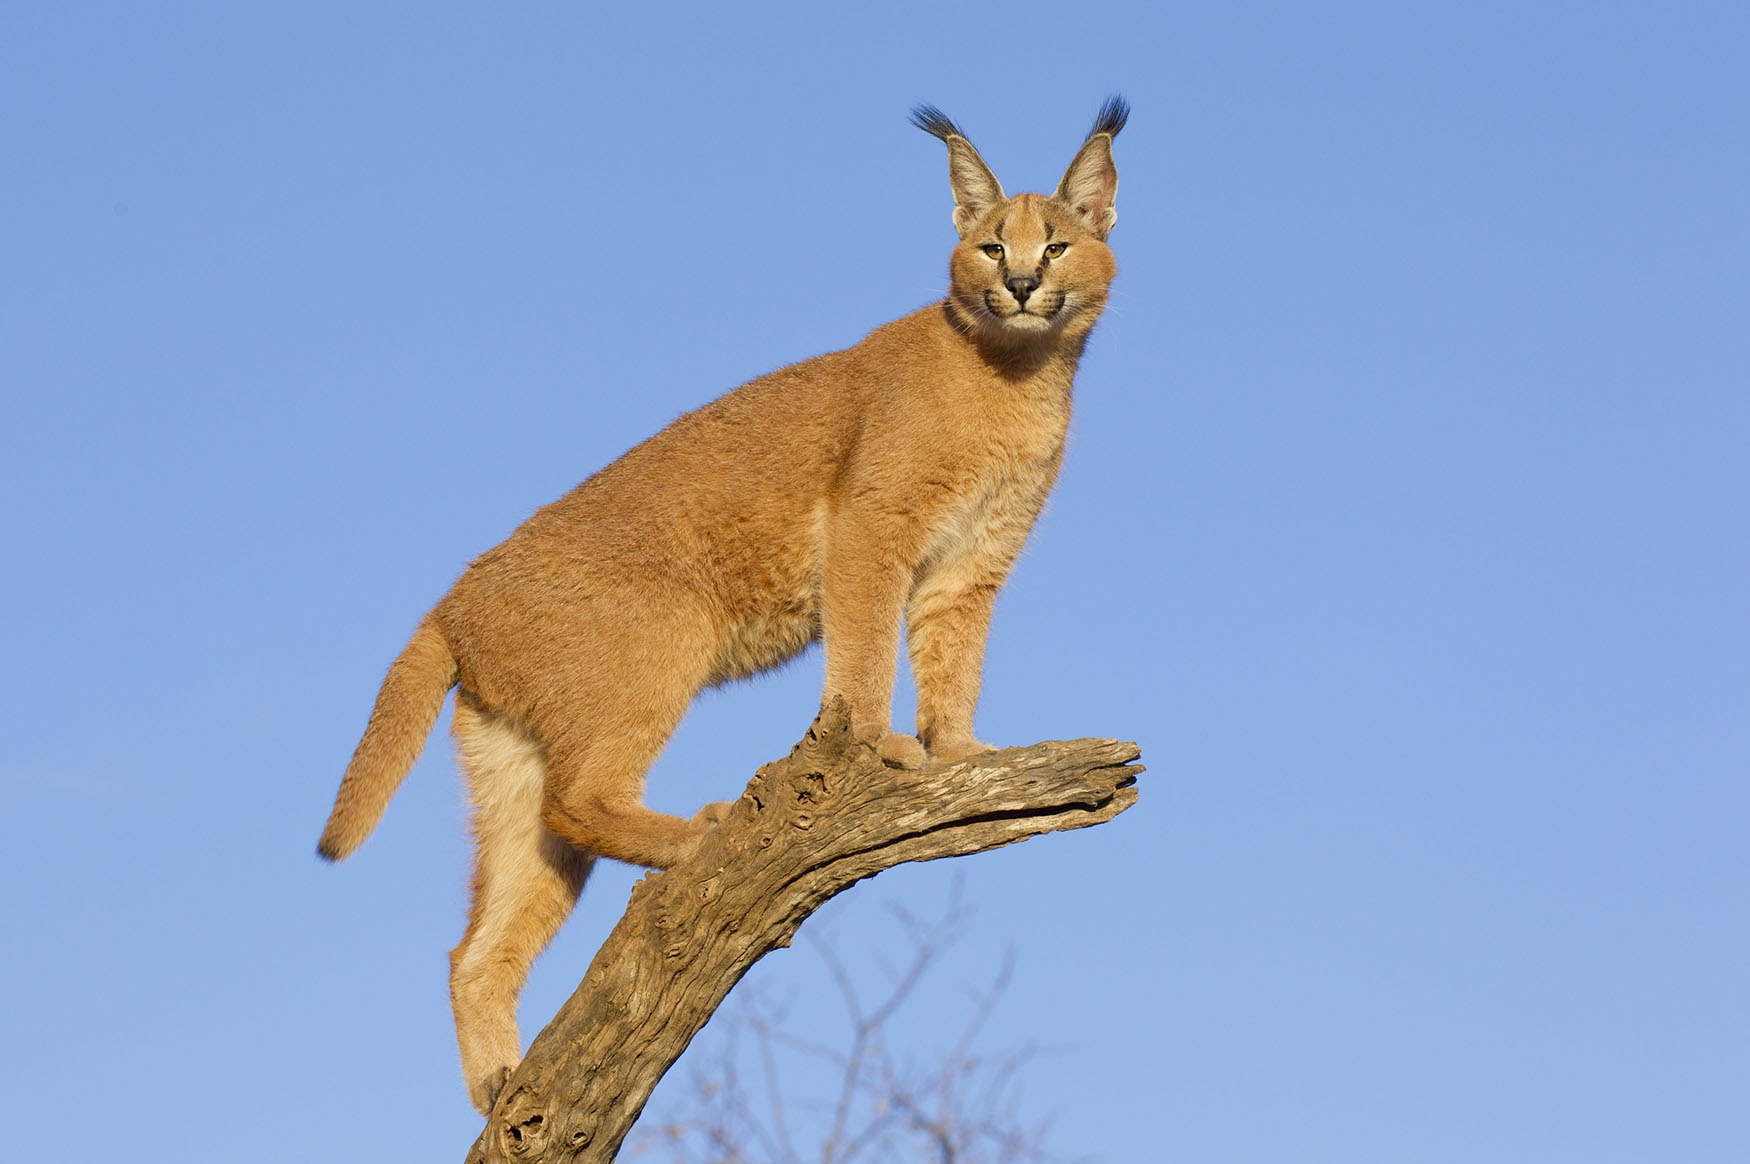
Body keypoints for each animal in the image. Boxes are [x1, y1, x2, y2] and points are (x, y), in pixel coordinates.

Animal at [320, 95, 1127, 1113]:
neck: (1020, 372)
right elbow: (865, 645)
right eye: (990, 247)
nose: (1020, 284)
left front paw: (963, 757)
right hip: (664, 644)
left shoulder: (970, 565)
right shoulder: (872, 529)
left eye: (1056, 246)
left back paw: (505, 1086)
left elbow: (953, 660)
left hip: (508, 763)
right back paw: (697, 834)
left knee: (480, 937)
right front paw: (882, 744)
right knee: (579, 802)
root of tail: (452, 598)